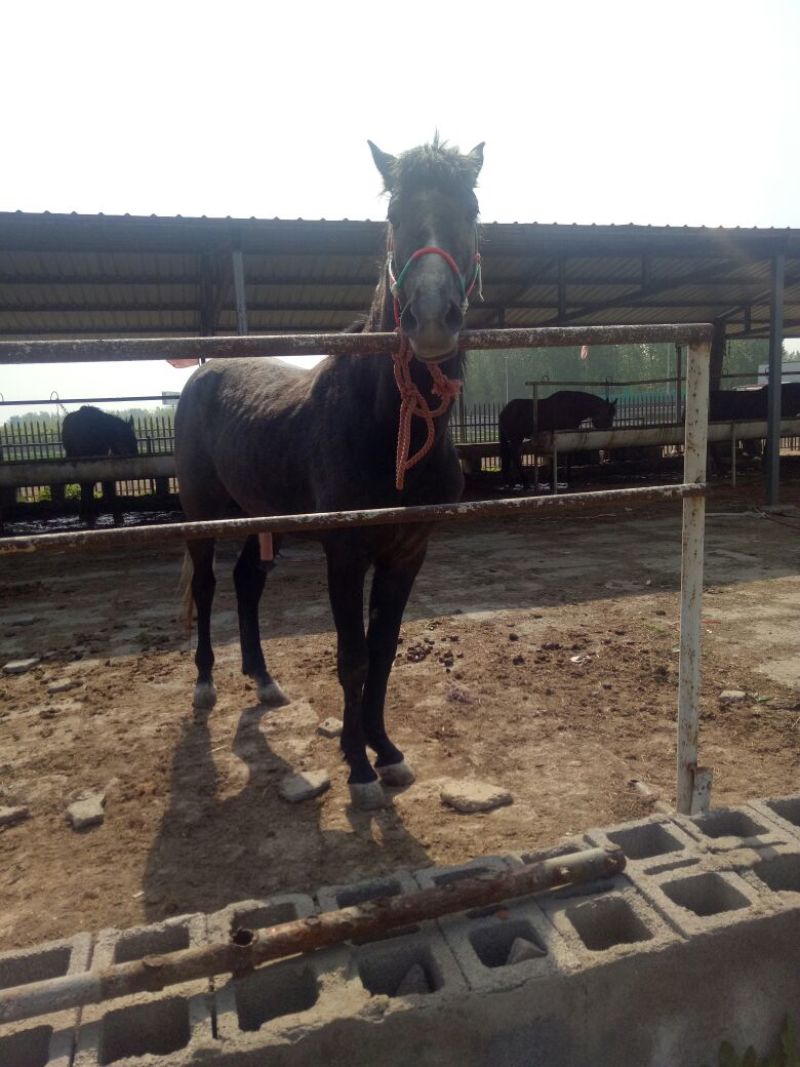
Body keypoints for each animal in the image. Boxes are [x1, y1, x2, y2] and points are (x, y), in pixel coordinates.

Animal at [175, 137, 484, 810]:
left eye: (472, 209)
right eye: (393, 213)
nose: (431, 318)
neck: (385, 423)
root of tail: (202, 374)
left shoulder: (408, 551)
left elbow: (384, 650)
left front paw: (386, 751)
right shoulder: (344, 551)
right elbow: (352, 656)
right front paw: (359, 768)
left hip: (263, 516)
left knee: (246, 582)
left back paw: (264, 681)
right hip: (204, 514)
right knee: (208, 585)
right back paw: (207, 684)